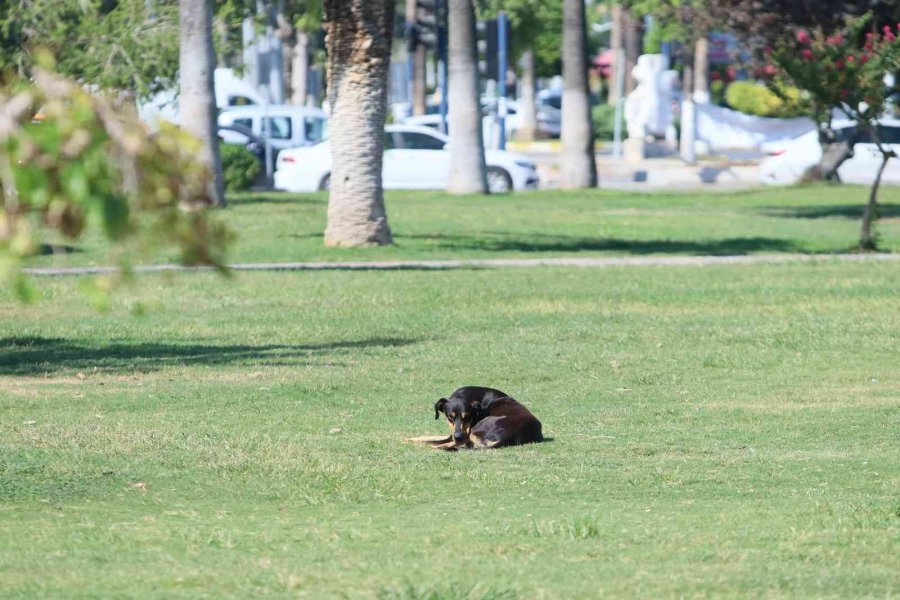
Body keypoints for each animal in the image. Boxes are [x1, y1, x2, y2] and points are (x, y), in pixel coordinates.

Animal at [406, 386, 540, 452]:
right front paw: (407, 439)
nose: (458, 436)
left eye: (467, 417)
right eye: (450, 417)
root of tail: (505, 438)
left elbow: (430, 440)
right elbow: (426, 438)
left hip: (477, 428)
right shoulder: (452, 433)